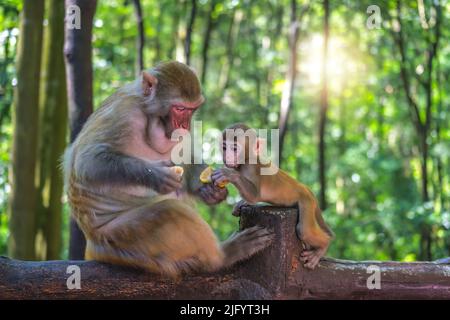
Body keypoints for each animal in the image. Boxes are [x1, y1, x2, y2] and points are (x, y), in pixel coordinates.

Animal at [64, 61, 272, 276]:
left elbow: (184, 154)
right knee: (170, 212)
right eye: (179, 108)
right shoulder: (123, 114)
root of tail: (94, 246)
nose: (185, 126)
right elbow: (87, 161)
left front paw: (208, 191)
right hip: (118, 237)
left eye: (192, 109)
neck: (148, 115)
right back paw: (224, 256)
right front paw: (156, 176)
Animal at [212, 124, 334, 268]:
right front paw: (242, 203)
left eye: (235, 148)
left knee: (304, 231)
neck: (246, 160)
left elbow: (254, 195)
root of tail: (305, 188)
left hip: (307, 201)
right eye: (224, 147)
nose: (228, 157)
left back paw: (322, 247)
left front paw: (228, 174)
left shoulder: (251, 167)